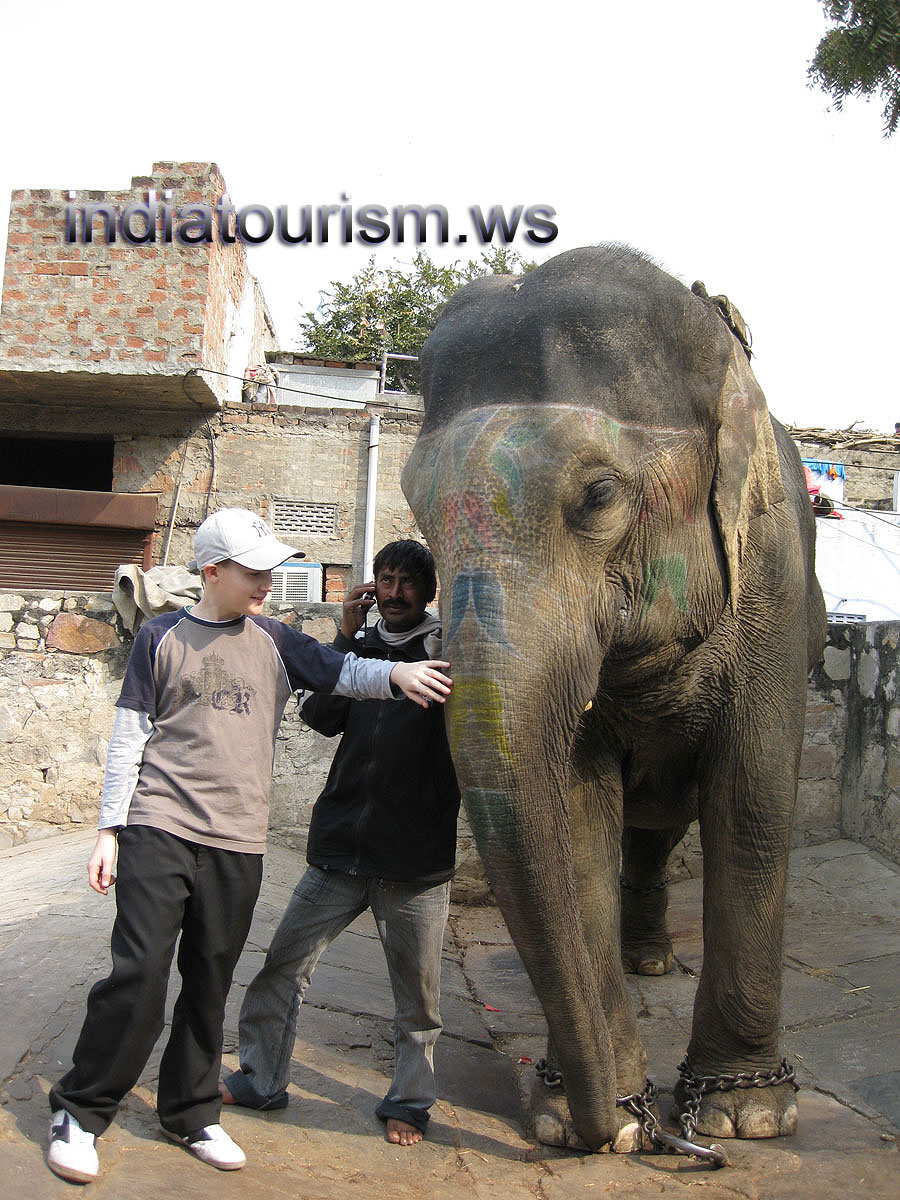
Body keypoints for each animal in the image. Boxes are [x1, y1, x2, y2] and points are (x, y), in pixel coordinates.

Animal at [401, 245, 827, 1154]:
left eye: (599, 497)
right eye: (418, 506)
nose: (610, 1131)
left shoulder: (773, 579)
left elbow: (751, 802)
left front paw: (746, 1116)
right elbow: (576, 810)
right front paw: (590, 1121)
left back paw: (656, 972)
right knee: (647, 829)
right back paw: (643, 964)